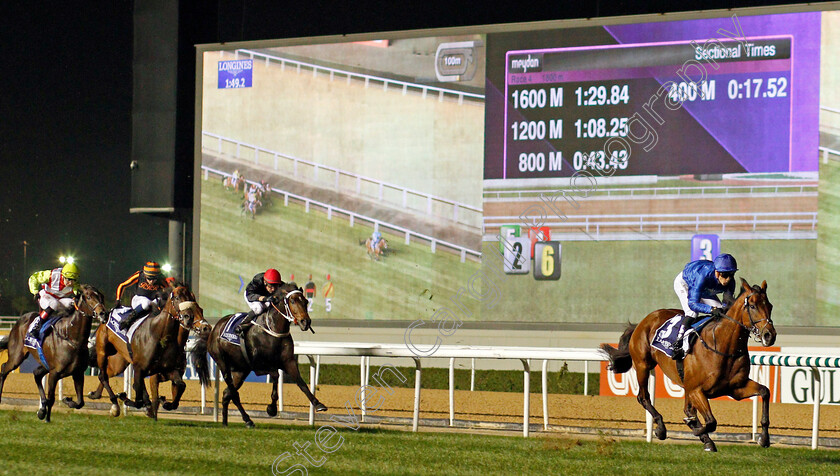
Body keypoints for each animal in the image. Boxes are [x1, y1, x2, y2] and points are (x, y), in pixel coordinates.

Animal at [0, 282, 108, 420]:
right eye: (88, 297)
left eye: (101, 297)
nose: (103, 313)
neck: (71, 337)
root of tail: (20, 320)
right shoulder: (54, 373)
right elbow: (51, 399)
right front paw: (47, 418)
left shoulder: (77, 373)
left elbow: (80, 402)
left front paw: (66, 401)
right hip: (17, 356)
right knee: (4, 369)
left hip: (44, 364)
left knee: (36, 373)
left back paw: (41, 409)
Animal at [197, 282, 328, 428]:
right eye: (293, 301)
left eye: (305, 301)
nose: (306, 322)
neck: (274, 329)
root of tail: (213, 330)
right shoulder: (259, 366)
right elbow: (276, 375)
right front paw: (271, 408)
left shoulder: (288, 362)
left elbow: (301, 382)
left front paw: (318, 404)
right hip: (223, 363)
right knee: (234, 394)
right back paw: (248, 420)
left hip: (241, 370)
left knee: (227, 394)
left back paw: (225, 423)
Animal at [604, 278, 776, 452]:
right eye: (752, 306)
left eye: (770, 306)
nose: (770, 335)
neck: (723, 346)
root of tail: (644, 320)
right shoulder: (696, 390)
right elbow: (711, 422)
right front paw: (696, 429)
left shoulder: (736, 388)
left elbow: (765, 392)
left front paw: (764, 438)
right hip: (643, 365)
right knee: (644, 397)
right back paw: (661, 428)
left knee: (686, 409)